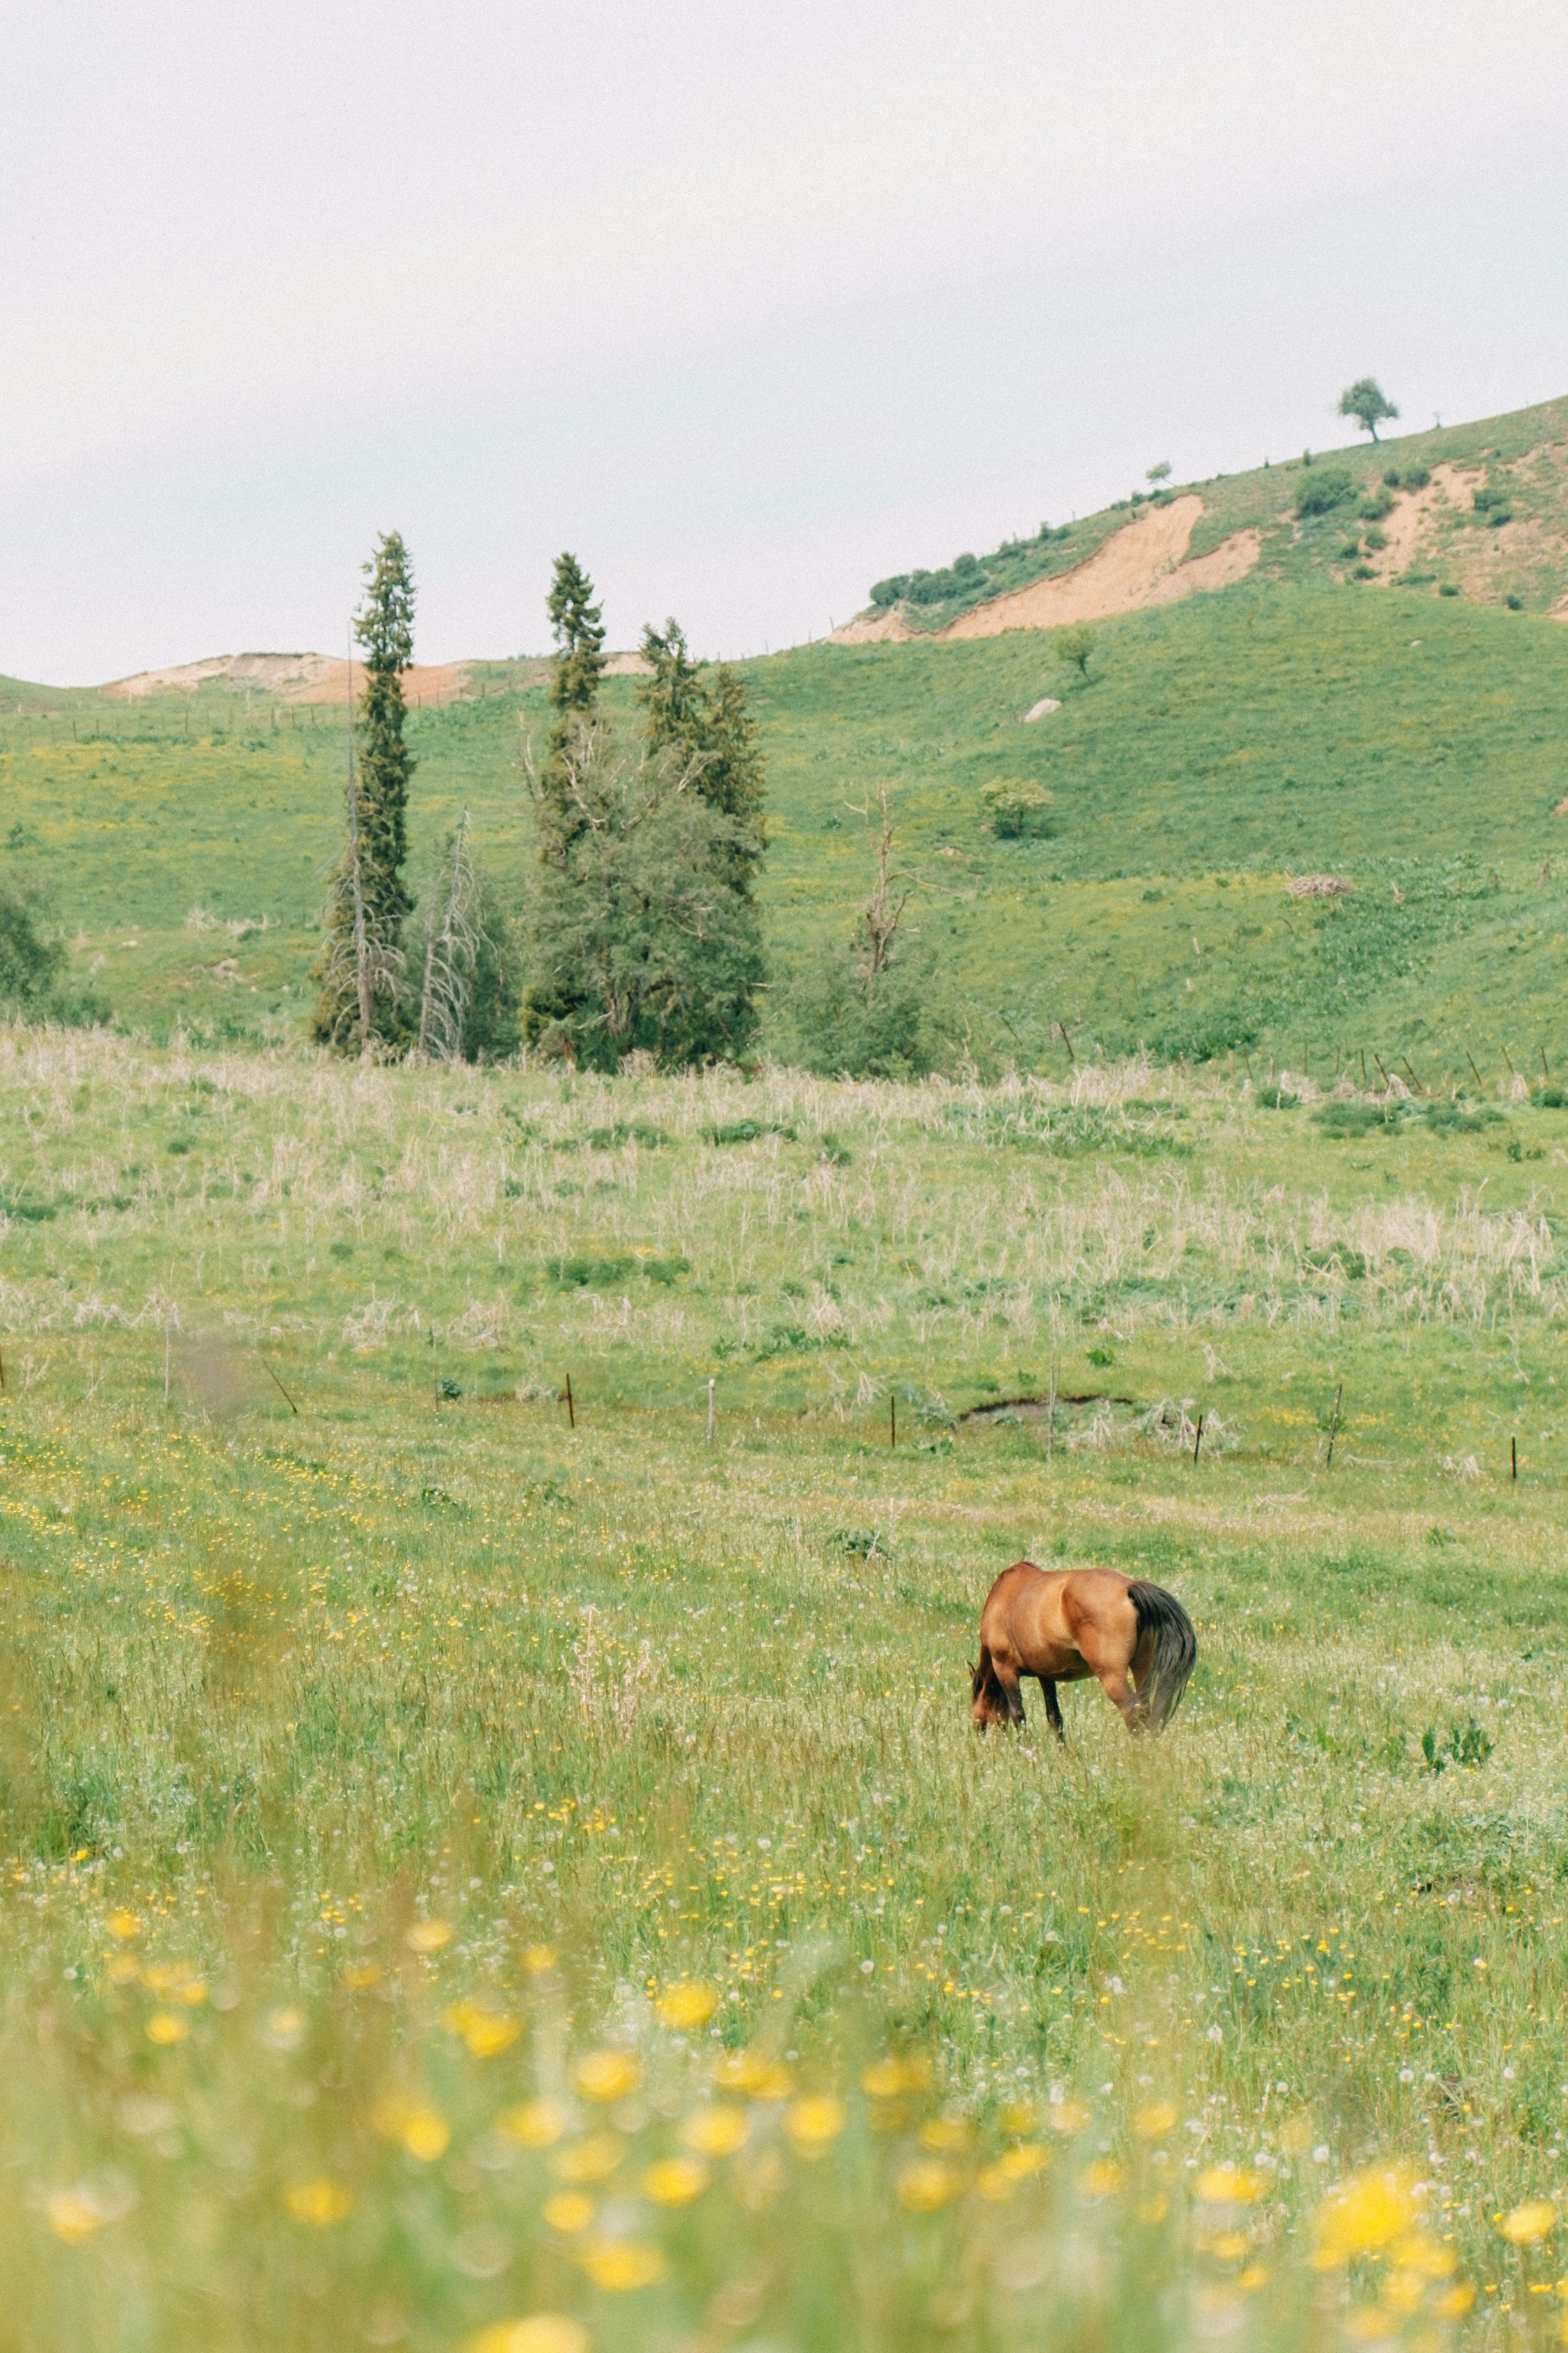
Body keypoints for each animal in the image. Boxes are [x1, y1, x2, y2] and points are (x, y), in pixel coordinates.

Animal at [969, 1560, 1195, 1740]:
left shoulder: (1005, 1668)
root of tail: (1129, 1588)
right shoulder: (1046, 1675)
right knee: (1145, 1710)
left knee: (1132, 1712)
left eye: (974, 1698)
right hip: (1142, 1668)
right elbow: (1055, 1717)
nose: (977, 1731)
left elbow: (1019, 1715)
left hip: (1112, 1675)